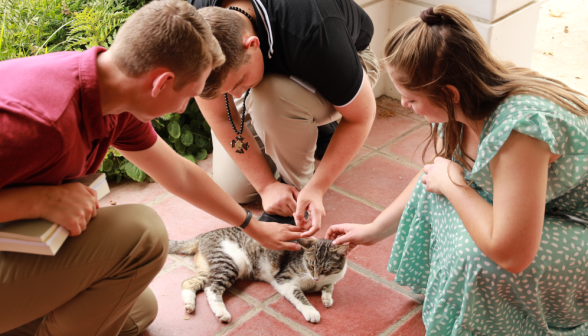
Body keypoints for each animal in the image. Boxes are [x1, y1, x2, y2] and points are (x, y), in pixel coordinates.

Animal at [168, 227, 346, 324]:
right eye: (310, 264)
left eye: (326, 268)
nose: (315, 277)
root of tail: (204, 235)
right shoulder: (284, 280)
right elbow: (299, 296)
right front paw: (311, 311)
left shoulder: (332, 278)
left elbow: (329, 286)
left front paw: (327, 298)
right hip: (229, 264)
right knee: (211, 289)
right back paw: (222, 312)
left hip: (209, 270)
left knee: (188, 283)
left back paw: (189, 305)